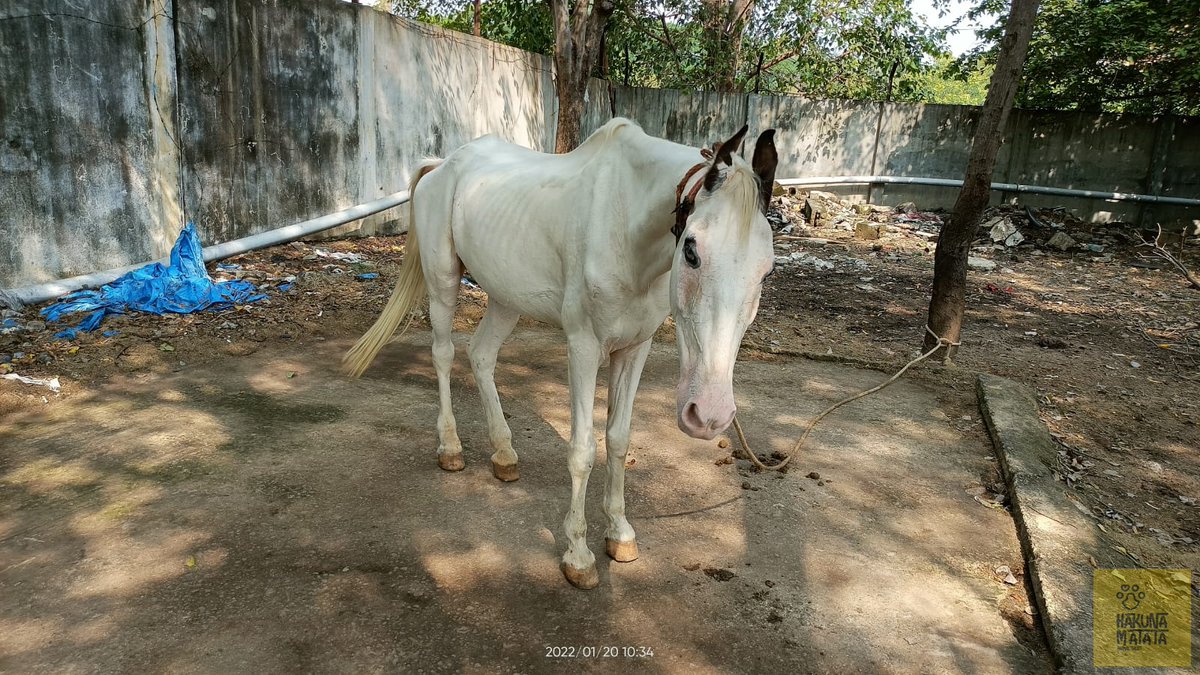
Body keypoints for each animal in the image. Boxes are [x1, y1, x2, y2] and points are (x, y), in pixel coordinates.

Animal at [343, 118, 778, 589]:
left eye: (767, 269)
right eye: (693, 250)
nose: (710, 415)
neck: (625, 223)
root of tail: (442, 166)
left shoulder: (634, 348)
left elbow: (618, 440)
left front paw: (620, 534)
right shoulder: (584, 348)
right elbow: (583, 450)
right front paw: (578, 556)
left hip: (505, 297)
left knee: (481, 356)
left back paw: (504, 455)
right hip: (442, 282)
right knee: (443, 355)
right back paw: (451, 449)